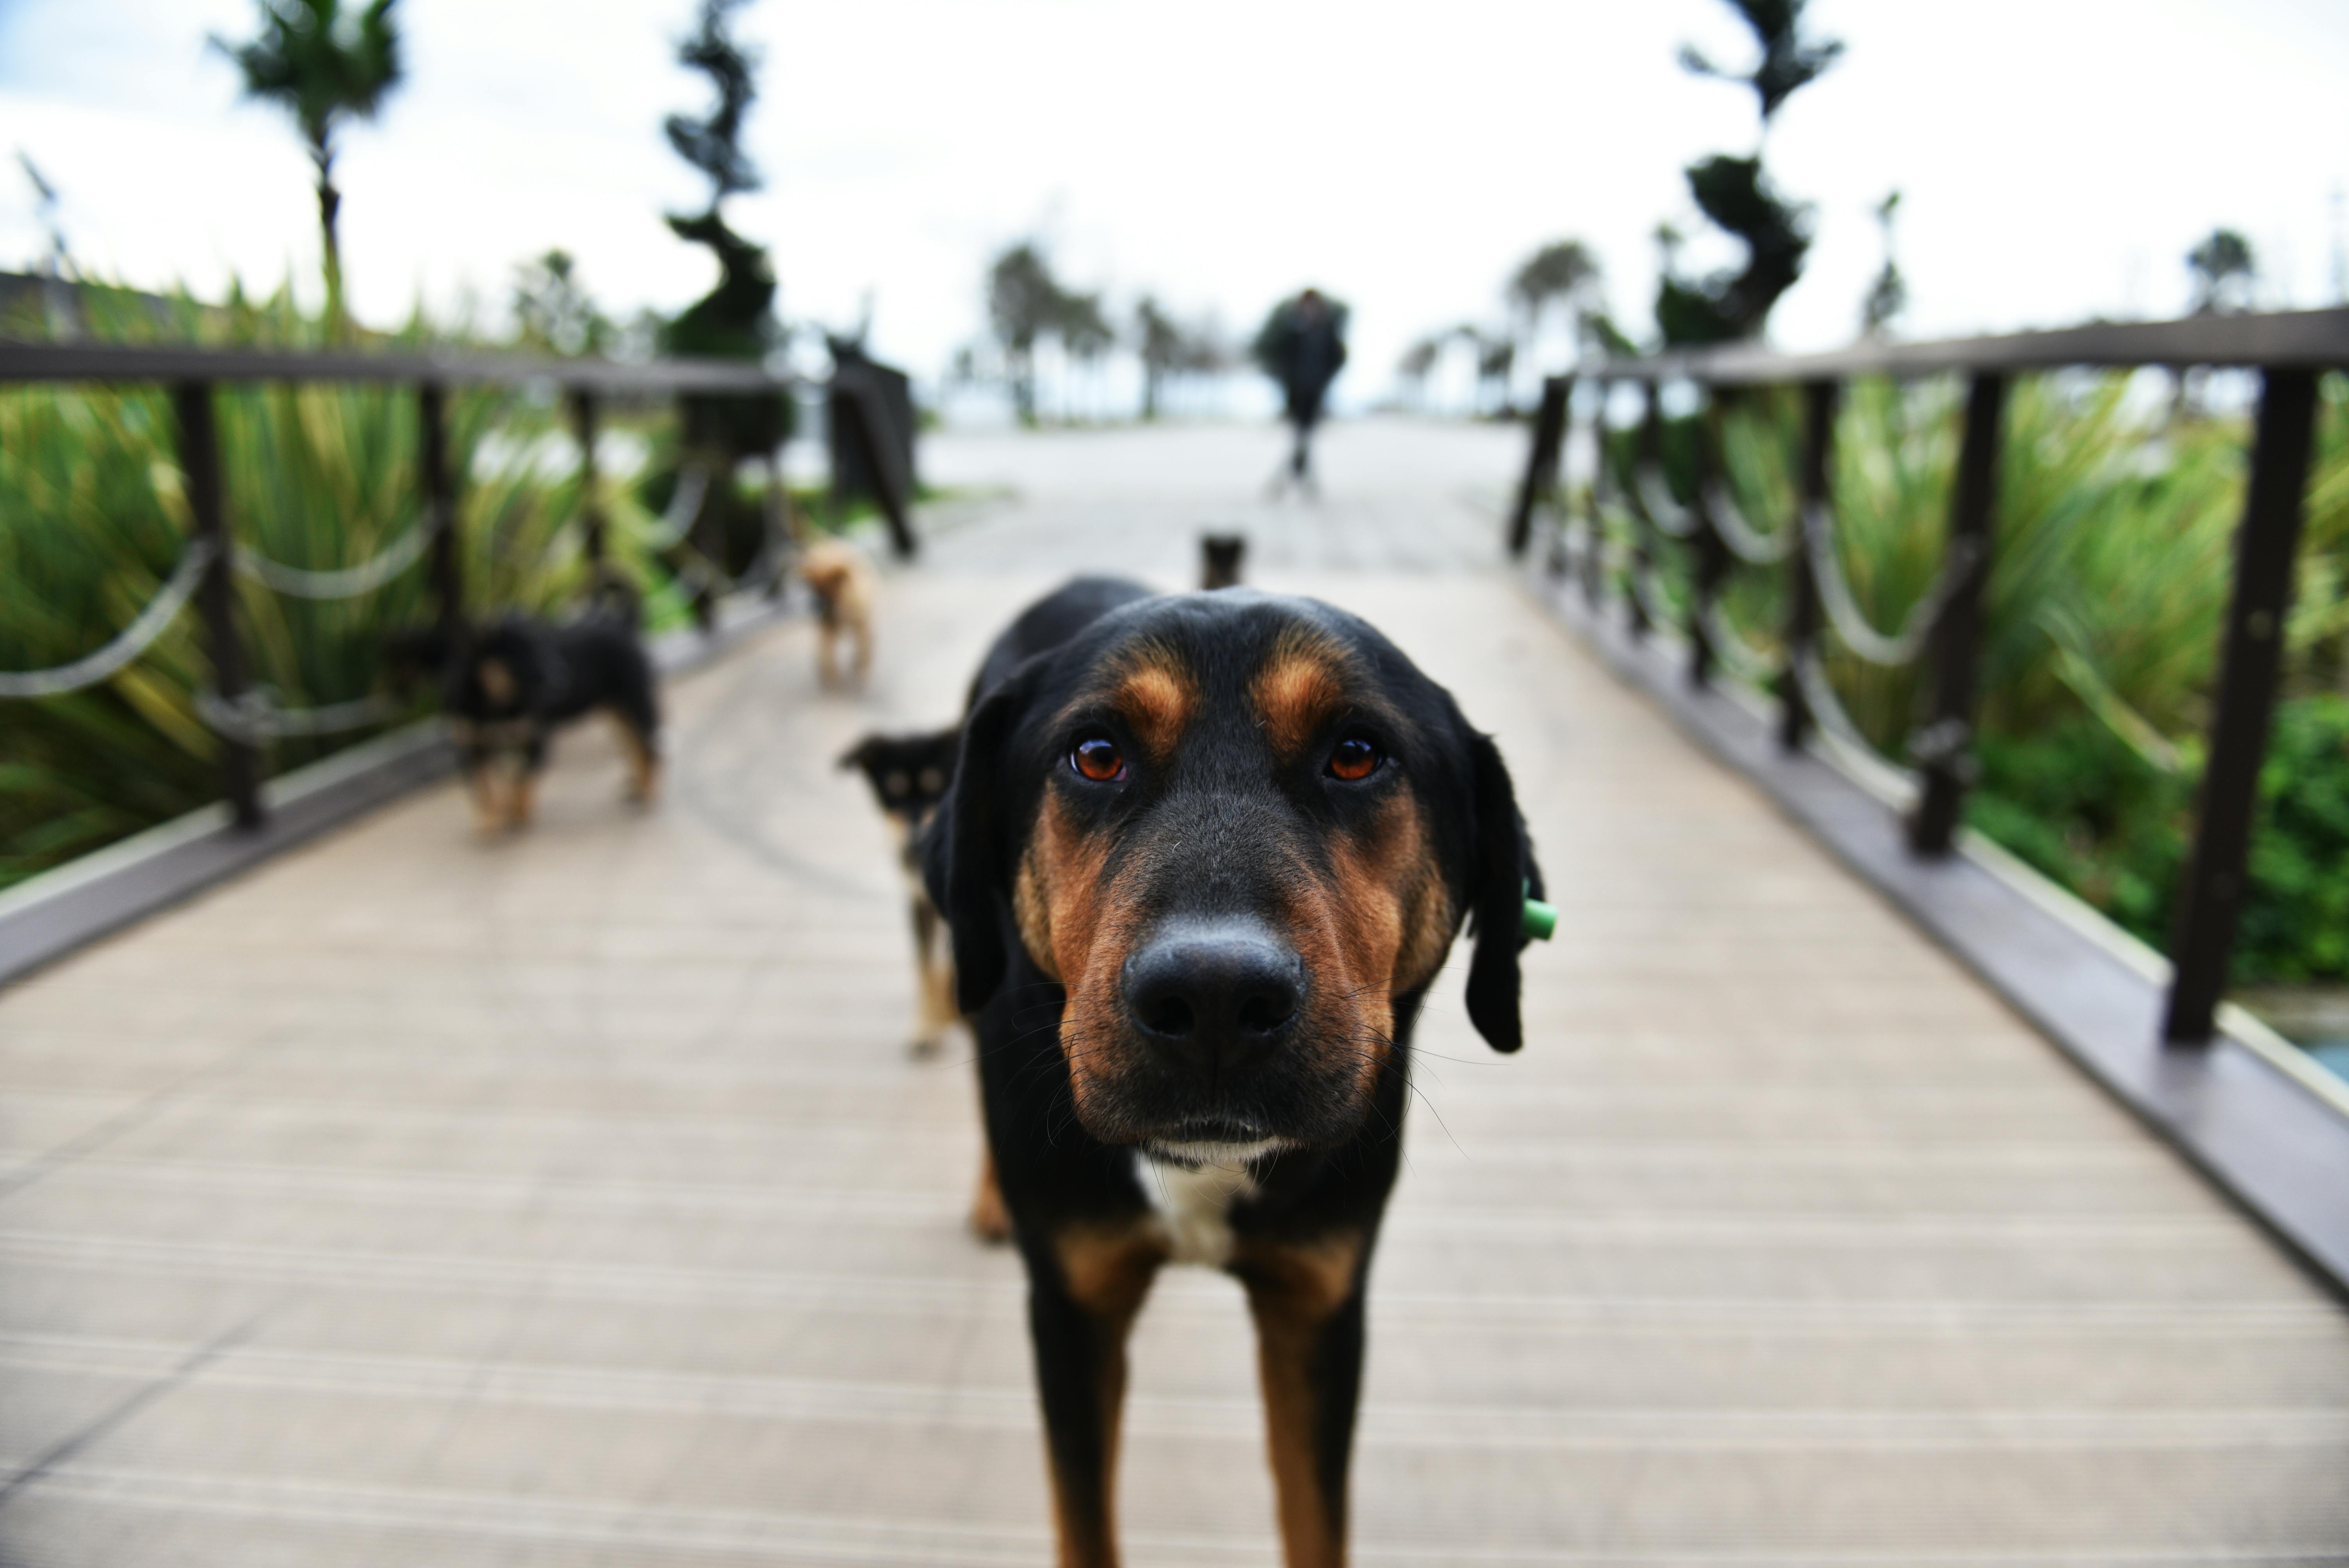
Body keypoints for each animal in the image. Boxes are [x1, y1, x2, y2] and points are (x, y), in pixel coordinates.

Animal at [808, 540, 883, 685]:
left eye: (828, 593)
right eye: (813, 589)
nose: (815, 606)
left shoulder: (862, 627)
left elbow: (864, 651)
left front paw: (860, 668)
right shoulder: (830, 626)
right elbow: (826, 652)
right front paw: (830, 675)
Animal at [841, 727, 958, 1061]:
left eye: (937, 785)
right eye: (891, 792)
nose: (915, 840)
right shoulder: (919, 903)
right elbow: (925, 966)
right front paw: (926, 1027)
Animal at [916, 575, 1541, 1568]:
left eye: (1356, 755)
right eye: (1095, 755)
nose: (1212, 997)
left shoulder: (1317, 1304)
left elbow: (1315, 1520)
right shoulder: (1071, 1309)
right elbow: (1083, 1521)